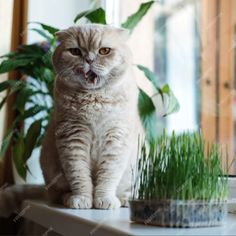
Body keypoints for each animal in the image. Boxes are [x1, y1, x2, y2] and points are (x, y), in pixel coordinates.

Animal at [0, 23, 142, 214]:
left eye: (104, 51)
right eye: (75, 51)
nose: (89, 59)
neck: (94, 100)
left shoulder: (116, 139)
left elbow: (108, 175)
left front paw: (104, 199)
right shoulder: (73, 138)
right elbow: (79, 175)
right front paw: (82, 199)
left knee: (126, 189)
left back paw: (125, 199)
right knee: (57, 194)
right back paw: (67, 198)